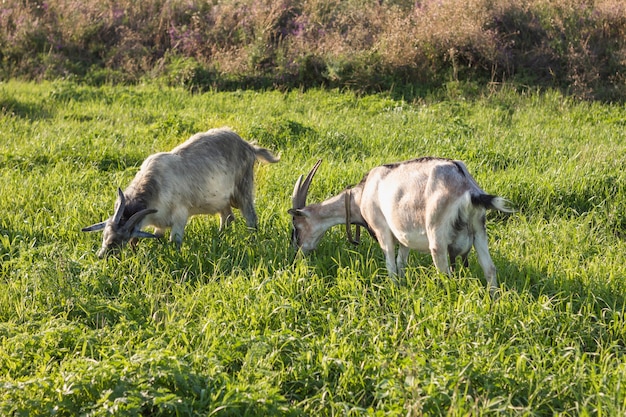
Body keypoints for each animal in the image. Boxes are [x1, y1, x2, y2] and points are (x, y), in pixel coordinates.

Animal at [82, 127, 278, 256]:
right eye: (105, 235)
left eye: (118, 239)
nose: (102, 256)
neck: (155, 184)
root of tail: (248, 146)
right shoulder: (159, 222)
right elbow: (157, 237)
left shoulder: (180, 216)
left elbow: (174, 241)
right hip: (221, 200)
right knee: (228, 217)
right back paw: (220, 236)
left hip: (243, 189)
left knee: (250, 217)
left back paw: (252, 239)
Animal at [288, 158, 512, 294]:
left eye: (296, 227)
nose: (297, 255)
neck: (361, 195)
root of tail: (468, 188)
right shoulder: (404, 237)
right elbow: (401, 262)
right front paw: (403, 287)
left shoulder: (383, 231)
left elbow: (391, 265)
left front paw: (394, 288)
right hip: (479, 229)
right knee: (490, 269)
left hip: (437, 236)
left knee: (446, 275)